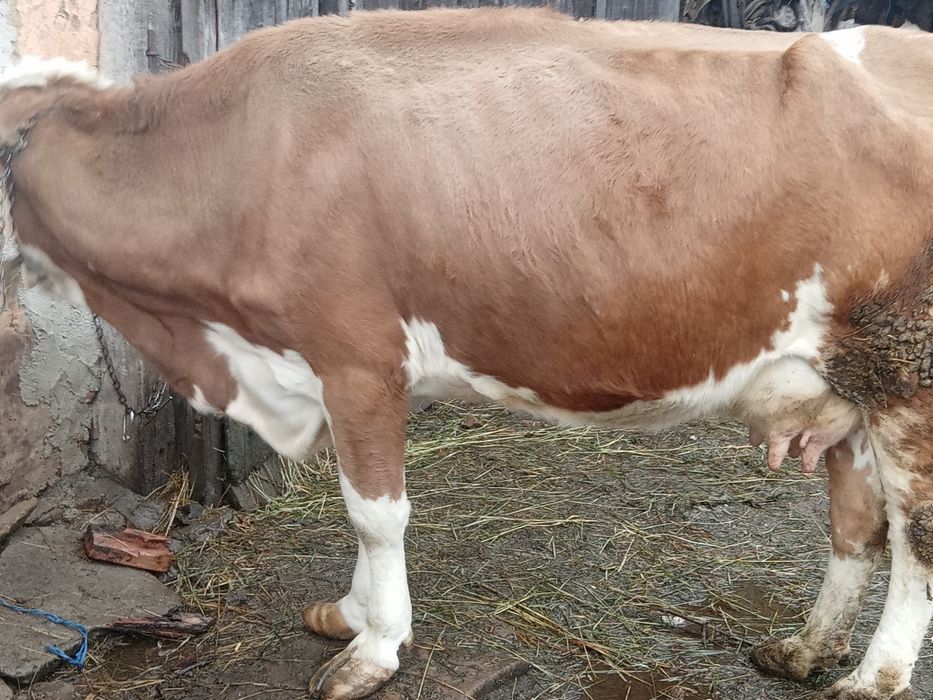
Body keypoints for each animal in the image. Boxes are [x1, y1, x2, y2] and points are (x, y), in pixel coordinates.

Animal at [0, 7, 931, 698]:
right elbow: (361, 505)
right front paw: (348, 613)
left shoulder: (356, 356)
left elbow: (375, 513)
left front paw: (374, 648)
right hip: (848, 382)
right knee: (855, 525)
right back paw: (805, 650)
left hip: (906, 375)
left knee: (913, 539)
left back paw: (872, 678)